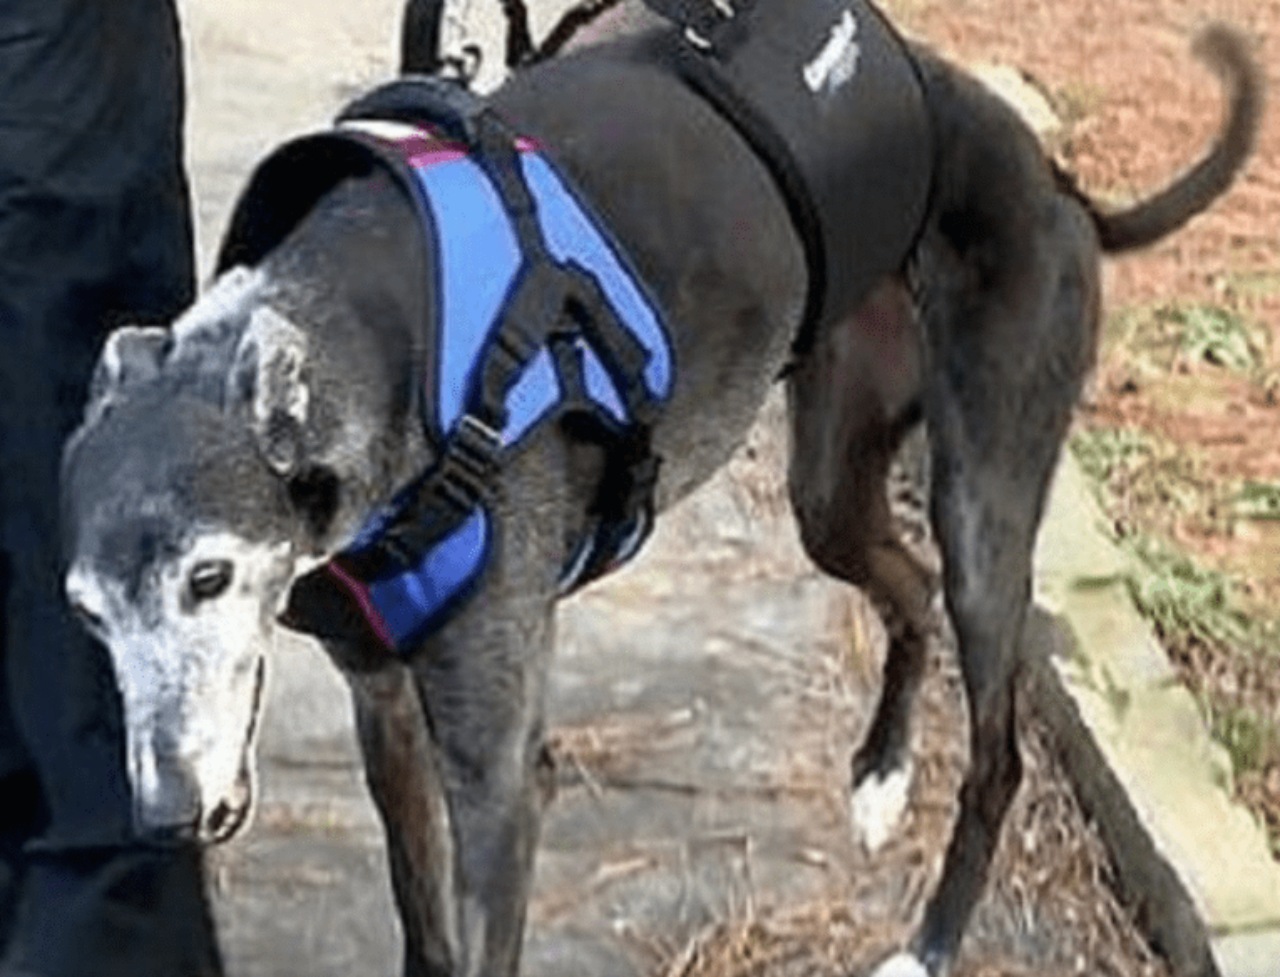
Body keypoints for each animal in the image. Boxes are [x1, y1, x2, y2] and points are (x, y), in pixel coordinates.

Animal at [60, 0, 1259, 973]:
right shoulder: (385, 705)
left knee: (995, 743)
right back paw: (878, 776)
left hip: (983, 503)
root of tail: (1056, 181)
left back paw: (927, 944)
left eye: (210, 575)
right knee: (904, 586)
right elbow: (419, 920)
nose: (167, 815)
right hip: (829, 486)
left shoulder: (498, 777)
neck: (396, 330)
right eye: (85, 612)